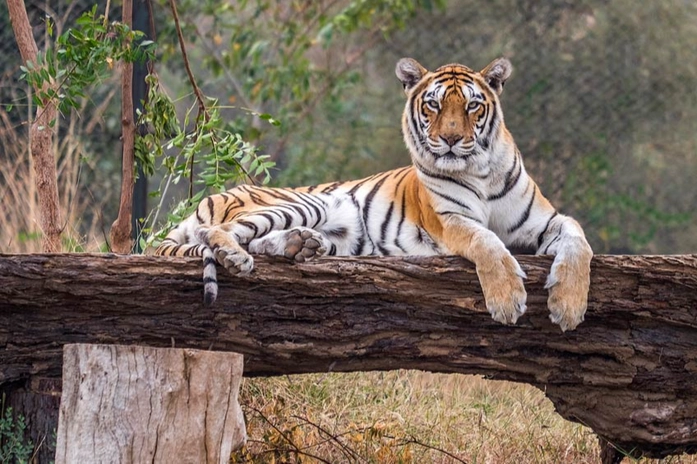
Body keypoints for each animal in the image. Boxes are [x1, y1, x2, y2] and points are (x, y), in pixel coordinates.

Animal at [155, 58, 588, 332]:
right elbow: (488, 244)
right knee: (218, 233)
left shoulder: (546, 221)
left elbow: (578, 242)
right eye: (433, 105)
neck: (480, 171)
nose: (450, 140)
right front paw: (507, 300)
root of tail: (208, 200)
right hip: (300, 203)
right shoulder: (451, 221)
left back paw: (300, 246)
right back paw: (237, 255)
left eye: (471, 106)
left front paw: (568, 307)